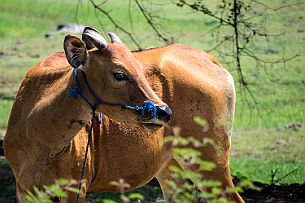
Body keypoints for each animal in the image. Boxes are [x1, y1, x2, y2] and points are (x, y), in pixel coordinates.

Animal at [3, 27, 242, 203]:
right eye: (119, 74)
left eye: (140, 68)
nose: (164, 111)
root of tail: (213, 62)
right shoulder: (23, 190)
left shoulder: (76, 187)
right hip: (171, 167)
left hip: (211, 158)